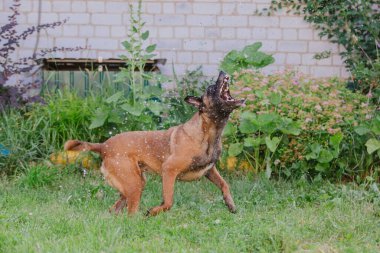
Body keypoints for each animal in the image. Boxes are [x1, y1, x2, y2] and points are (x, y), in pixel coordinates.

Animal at [63, 70, 245, 215]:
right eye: (211, 89)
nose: (222, 72)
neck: (207, 133)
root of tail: (104, 145)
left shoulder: (210, 170)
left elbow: (225, 185)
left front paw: (230, 204)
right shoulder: (169, 170)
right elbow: (168, 201)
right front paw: (154, 211)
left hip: (133, 184)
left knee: (115, 208)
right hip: (134, 184)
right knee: (130, 213)